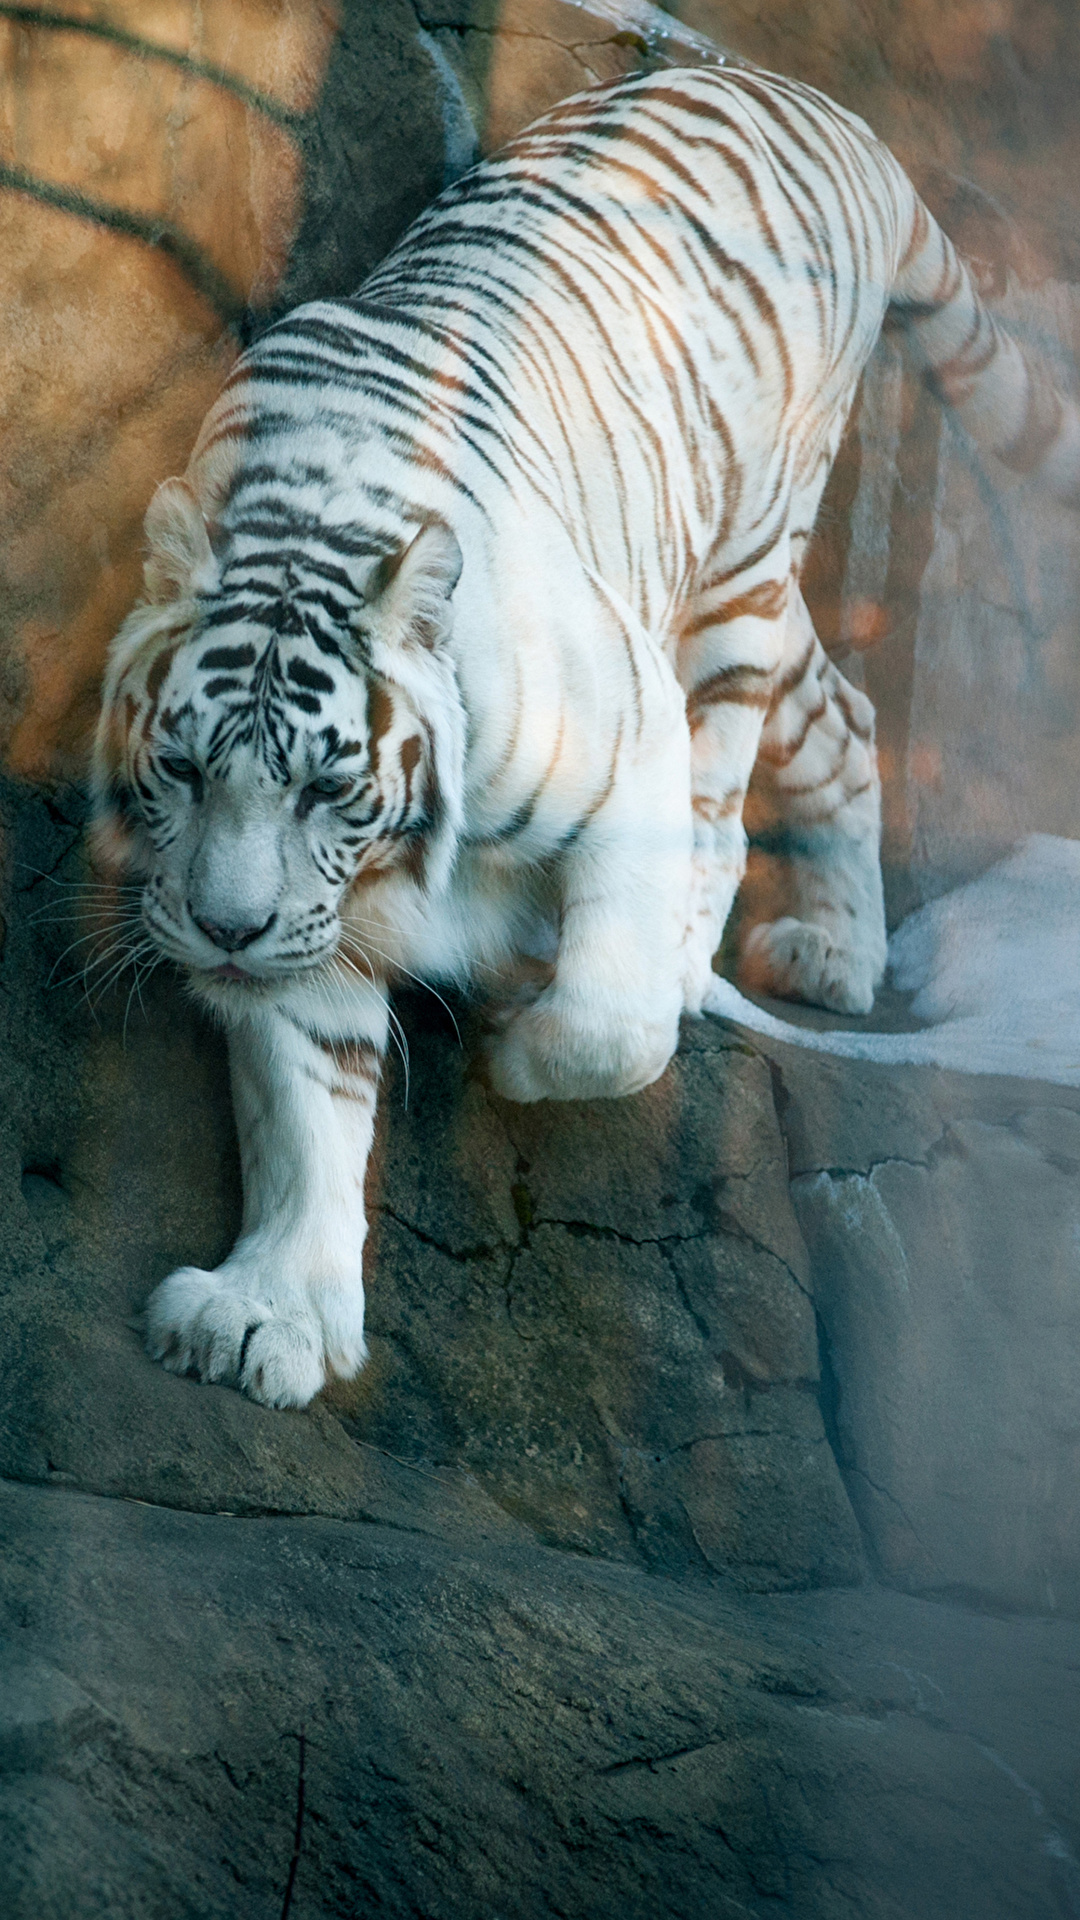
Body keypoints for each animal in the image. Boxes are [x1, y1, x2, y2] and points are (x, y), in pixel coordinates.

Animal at [90, 64, 1080, 1410]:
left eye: (326, 792)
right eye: (184, 770)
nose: (224, 931)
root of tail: (829, 110)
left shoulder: (623, 736)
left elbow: (608, 1025)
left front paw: (523, 1046)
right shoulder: (309, 922)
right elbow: (306, 1100)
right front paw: (267, 1318)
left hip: (738, 577)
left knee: (725, 801)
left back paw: (710, 958)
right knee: (846, 712)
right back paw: (836, 952)